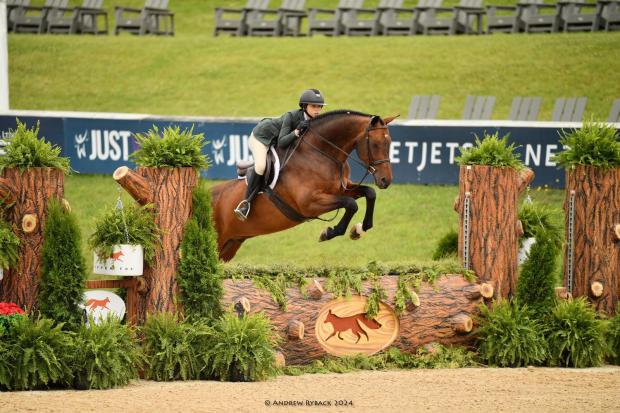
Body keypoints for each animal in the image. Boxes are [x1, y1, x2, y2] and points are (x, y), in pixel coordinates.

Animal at [210, 110, 396, 262]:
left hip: (230, 245)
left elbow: (369, 193)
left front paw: (360, 229)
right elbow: (351, 204)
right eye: (375, 144)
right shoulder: (309, 203)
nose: (385, 180)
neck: (322, 154)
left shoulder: (342, 189)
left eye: (390, 144)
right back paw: (243, 209)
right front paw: (329, 233)